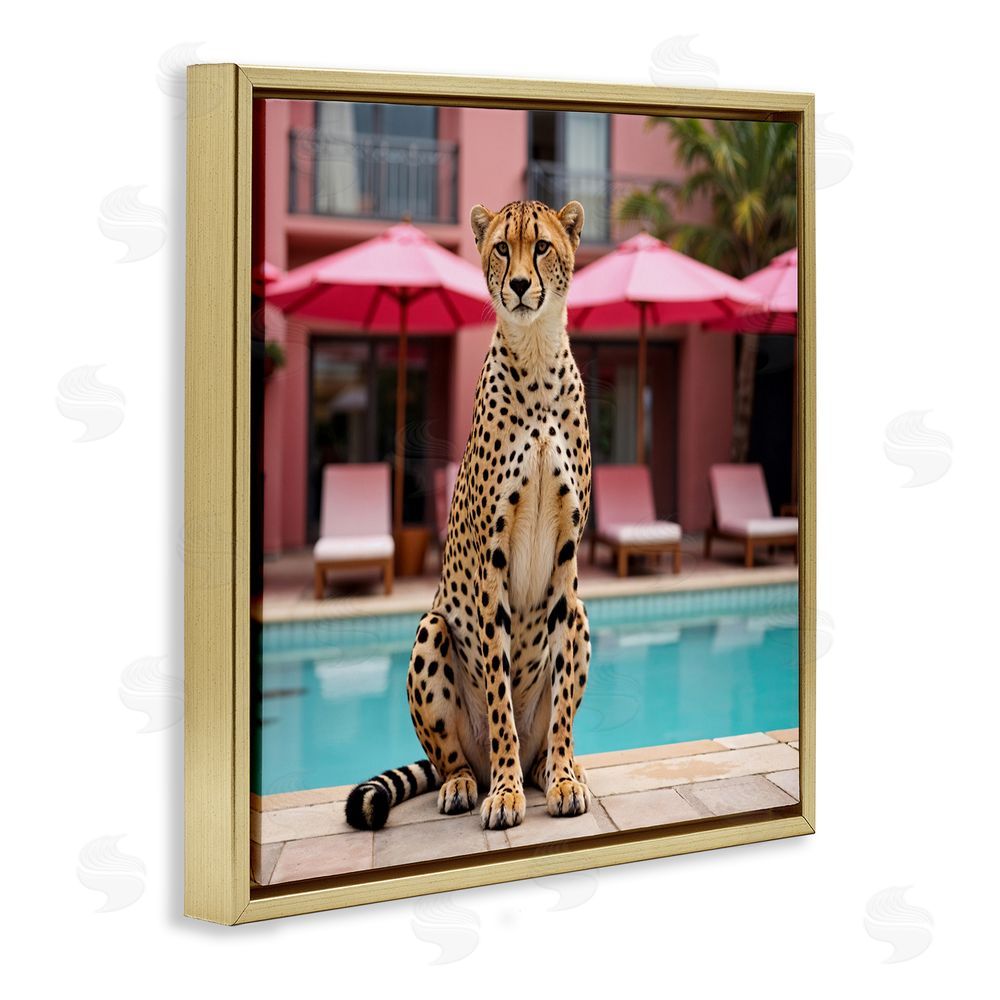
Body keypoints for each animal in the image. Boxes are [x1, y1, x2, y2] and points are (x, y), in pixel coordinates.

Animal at [346, 199, 592, 832]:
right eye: (503, 248)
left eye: (543, 247)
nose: (521, 285)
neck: (536, 356)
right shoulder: (491, 561)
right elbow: (500, 698)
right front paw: (504, 793)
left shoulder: (566, 561)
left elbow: (560, 704)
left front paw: (561, 779)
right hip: (431, 629)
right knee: (451, 757)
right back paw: (469, 781)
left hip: (581, 612)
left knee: (550, 730)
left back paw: (554, 767)